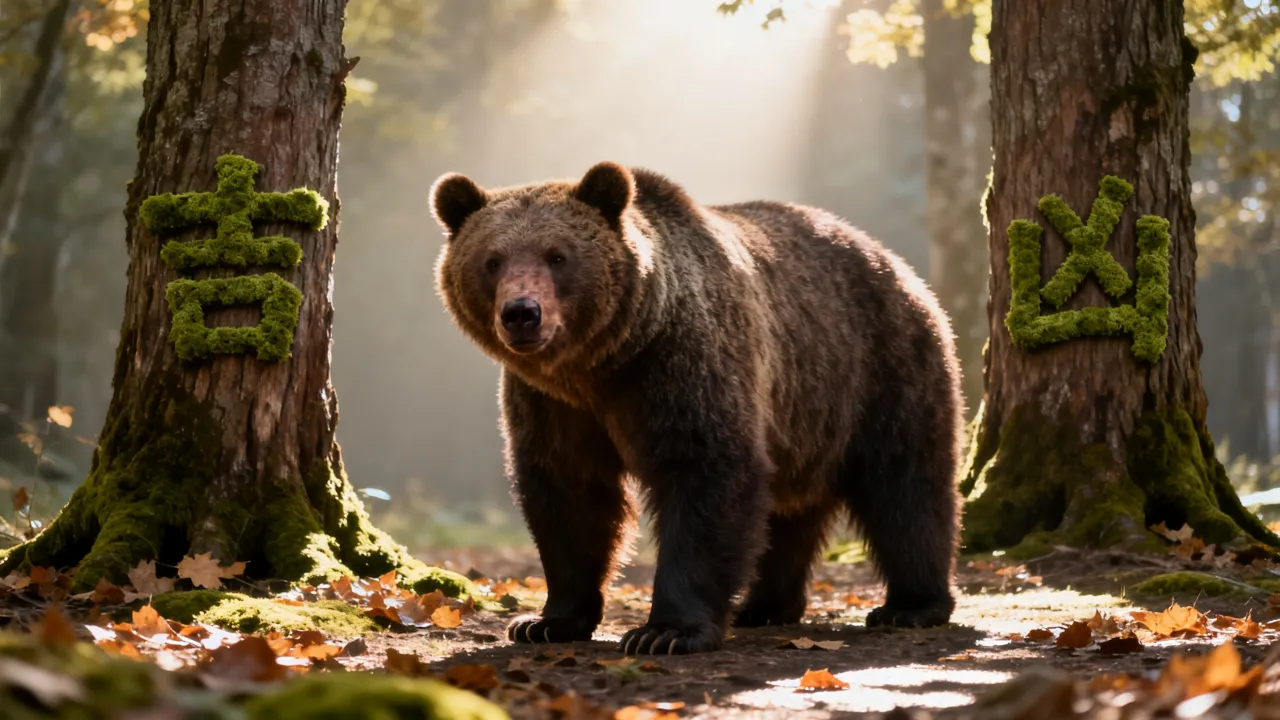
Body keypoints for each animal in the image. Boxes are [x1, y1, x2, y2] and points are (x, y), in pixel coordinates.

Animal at [428, 161, 964, 655]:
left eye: (558, 256)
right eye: (492, 260)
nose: (522, 313)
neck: (601, 364)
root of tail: (895, 263)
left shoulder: (680, 364)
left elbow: (706, 472)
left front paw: (665, 631)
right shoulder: (552, 404)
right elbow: (568, 493)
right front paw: (546, 621)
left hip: (880, 367)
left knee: (906, 486)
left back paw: (911, 605)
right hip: (806, 415)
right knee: (790, 512)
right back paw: (765, 606)